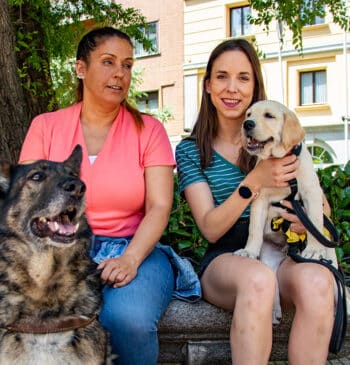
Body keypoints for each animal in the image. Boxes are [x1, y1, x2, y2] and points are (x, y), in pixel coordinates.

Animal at [235, 99, 336, 322]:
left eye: (269, 116)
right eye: (248, 114)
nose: (247, 125)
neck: (279, 159)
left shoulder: (311, 192)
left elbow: (314, 221)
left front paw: (313, 249)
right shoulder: (259, 197)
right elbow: (254, 229)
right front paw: (249, 250)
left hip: (331, 258)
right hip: (269, 260)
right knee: (272, 280)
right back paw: (274, 311)